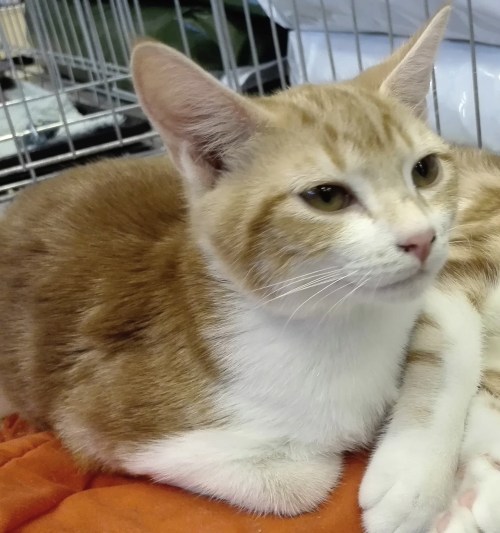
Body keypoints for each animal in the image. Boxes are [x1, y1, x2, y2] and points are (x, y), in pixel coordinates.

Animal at [0, 5, 455, 518]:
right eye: (326, 197)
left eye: (425, 170)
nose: (421, 238)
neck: (340, 326)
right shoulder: (94, 417)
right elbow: (299, 480)